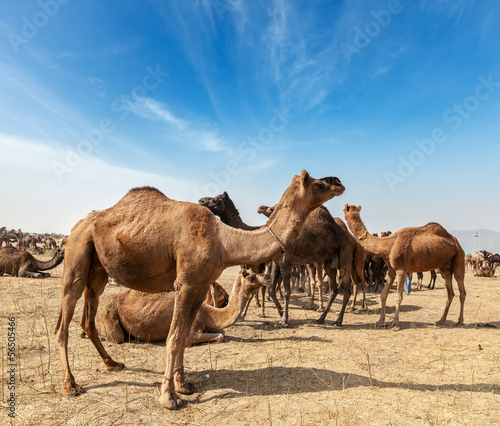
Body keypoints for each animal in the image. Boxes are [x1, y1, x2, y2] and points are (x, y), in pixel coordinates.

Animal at [98, 270, 270, 346]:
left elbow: (222, 331)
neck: (207, 312)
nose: (267, 277)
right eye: (251, 276)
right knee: (117, 337)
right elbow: (220, 336)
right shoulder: (190, 332)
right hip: (110, 317)